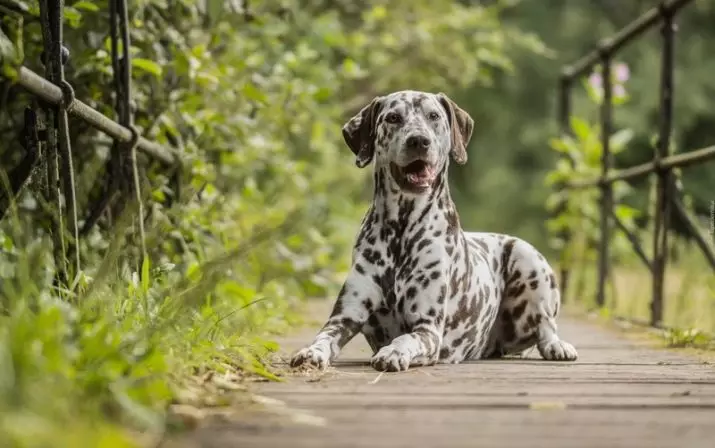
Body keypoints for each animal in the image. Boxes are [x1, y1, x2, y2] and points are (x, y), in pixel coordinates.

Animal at [288, 90, 580, 372]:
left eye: (434, 116)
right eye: (393, 117)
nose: (419, 140)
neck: (401, 229)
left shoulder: (427, 328)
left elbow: (405, 339)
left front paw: (392, 352)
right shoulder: (344, 317)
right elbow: (323, 337)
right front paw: (311, 352)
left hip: (528, 259)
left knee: (545, 325)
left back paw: (557, 346)